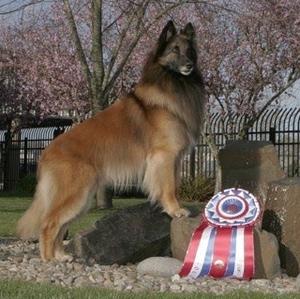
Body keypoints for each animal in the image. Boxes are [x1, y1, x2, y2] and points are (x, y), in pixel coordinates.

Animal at [17, 19, 206, 262]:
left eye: (190, 50)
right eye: (174, 49)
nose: (189, 64)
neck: (173, 84)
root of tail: (46, 152)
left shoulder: (174, 160)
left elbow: (175, 185)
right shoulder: (164, 157)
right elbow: (169, 187)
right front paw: (175, 210)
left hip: (82, 198)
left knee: (60, 225)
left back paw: (61, 256)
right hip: (76, 195)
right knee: (49, 223)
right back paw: (49, 258)